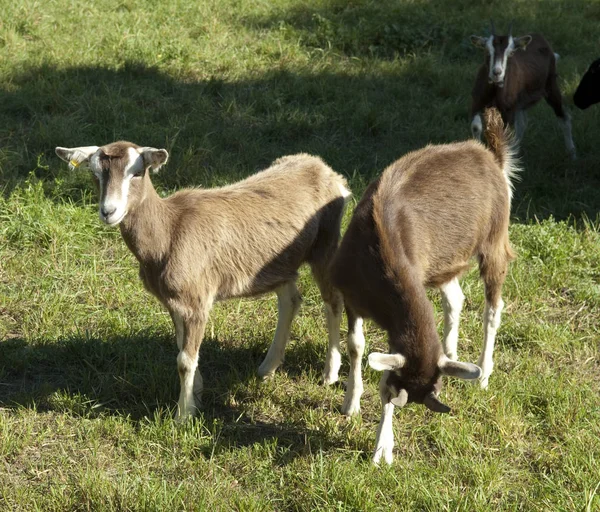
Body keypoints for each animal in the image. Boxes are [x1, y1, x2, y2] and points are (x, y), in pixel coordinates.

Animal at [55, 144, 356, 420]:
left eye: (137, 172)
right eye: (95, 173)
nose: (108, 211)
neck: (168, 232)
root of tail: (329, 173)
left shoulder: (196, 299)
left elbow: (184, 360)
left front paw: (183, 415)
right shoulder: (174, 301)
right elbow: (182, 348)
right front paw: (197, 395)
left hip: (326, 242)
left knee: (332, 301)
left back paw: (329, 374)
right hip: (280, 263)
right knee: (291, 299)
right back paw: (267, 368)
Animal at [330, 108, 516, 464]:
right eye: (391, 387)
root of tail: (490, 155)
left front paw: (381, 449)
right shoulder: (351, 294)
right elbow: (356, 345)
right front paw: (351, 403)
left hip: (495, 236)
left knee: (493, 307)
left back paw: (485, 373)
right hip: (443, 263)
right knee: (455, 297)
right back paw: (453, 350)